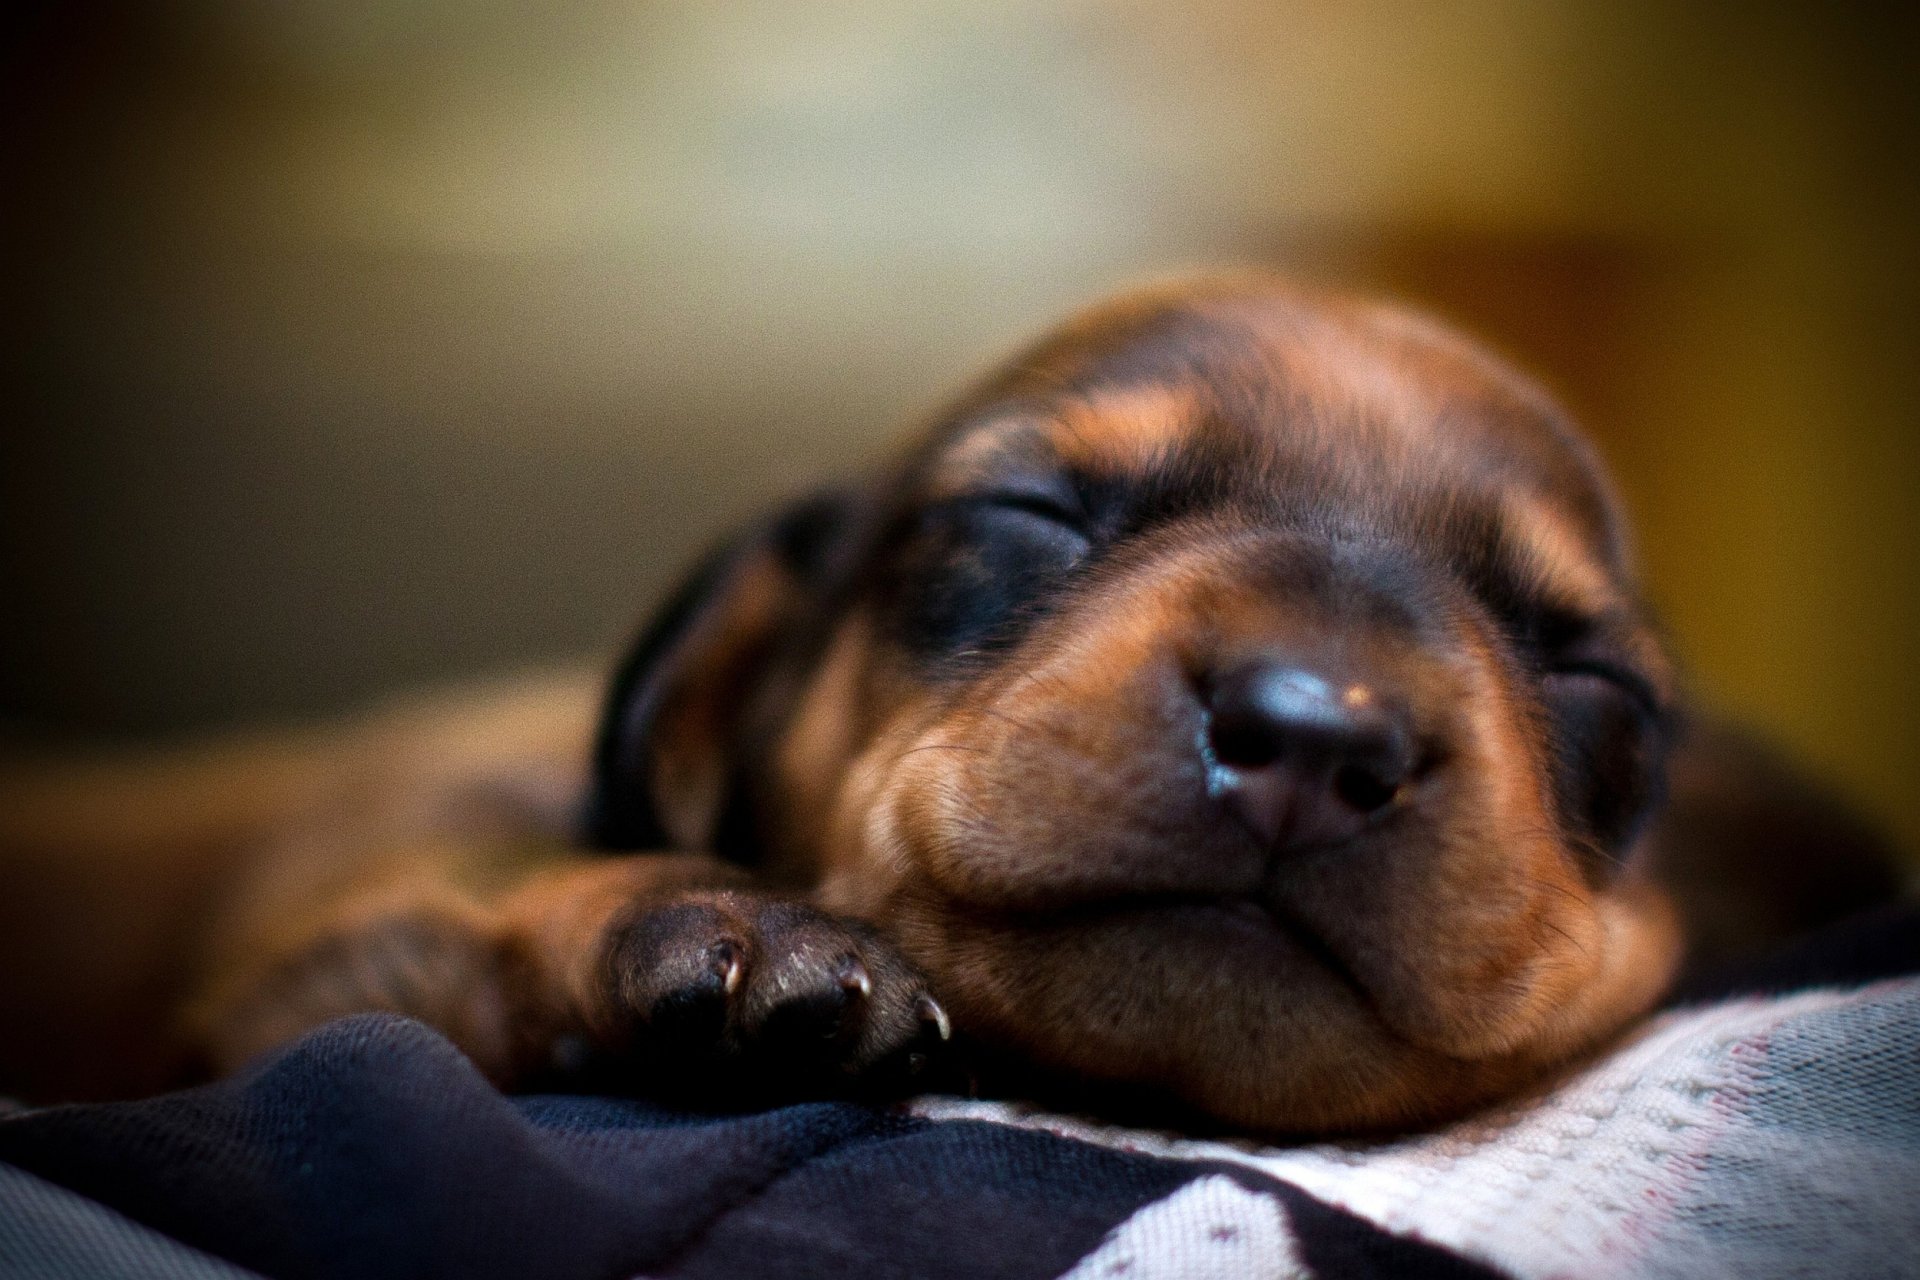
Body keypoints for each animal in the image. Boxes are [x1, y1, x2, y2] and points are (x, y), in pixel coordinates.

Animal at [0, 278, 1896, 1128]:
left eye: (1594, 680)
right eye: (1034, 512)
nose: (1314, 735)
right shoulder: (321, 973)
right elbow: (485, 902)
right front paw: (740, 937)